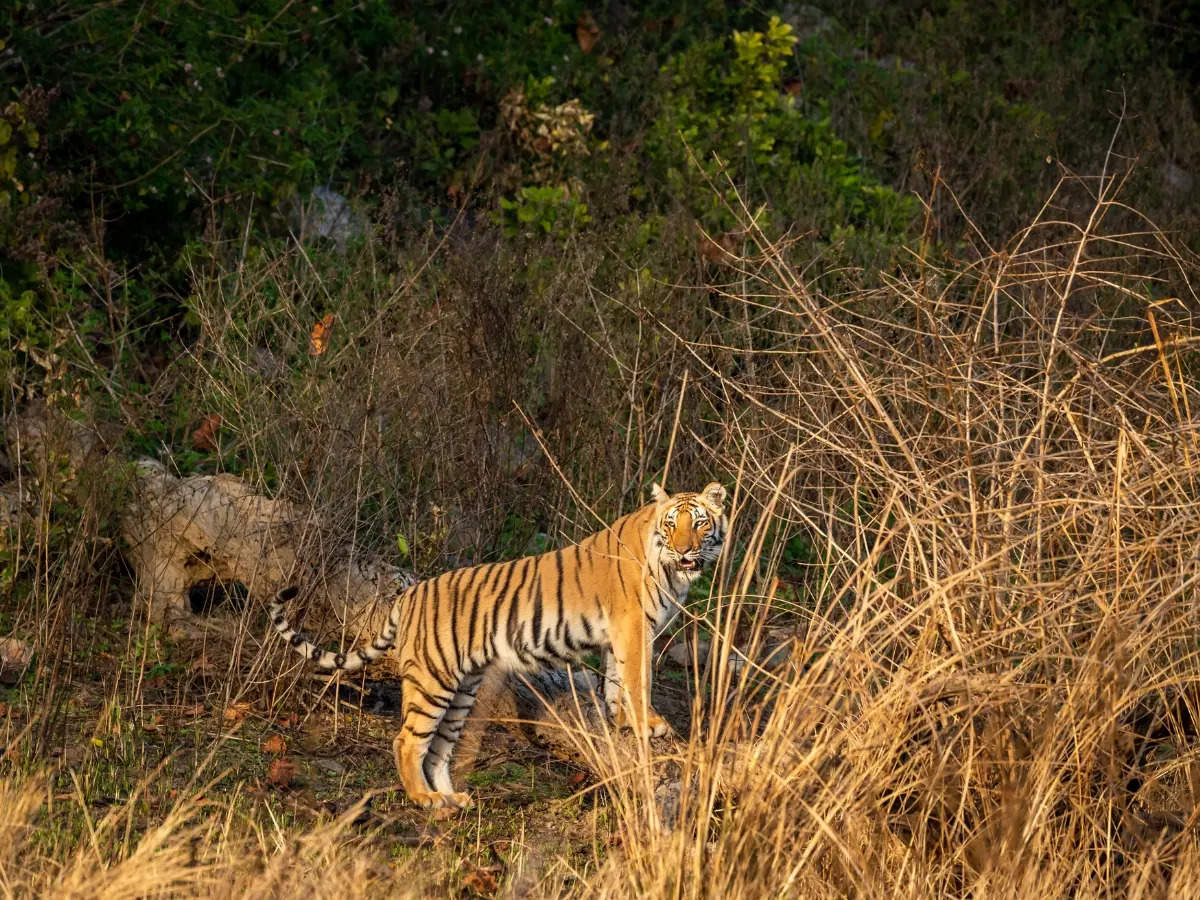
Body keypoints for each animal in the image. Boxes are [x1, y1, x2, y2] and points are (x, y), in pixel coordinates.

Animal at [268, 482, 724, 816]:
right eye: (672, 524)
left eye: (700, 524)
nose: (685, 549)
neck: (672, 570)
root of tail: (410, 593)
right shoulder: (632, 627)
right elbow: (637, 679)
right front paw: (650, 723)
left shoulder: (620, 635)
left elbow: (616, 681)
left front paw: (623, 722)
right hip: (432, 681)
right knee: (407, 741)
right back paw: (424, 799)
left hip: (462, 689)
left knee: (438, 750)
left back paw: (451, 798)